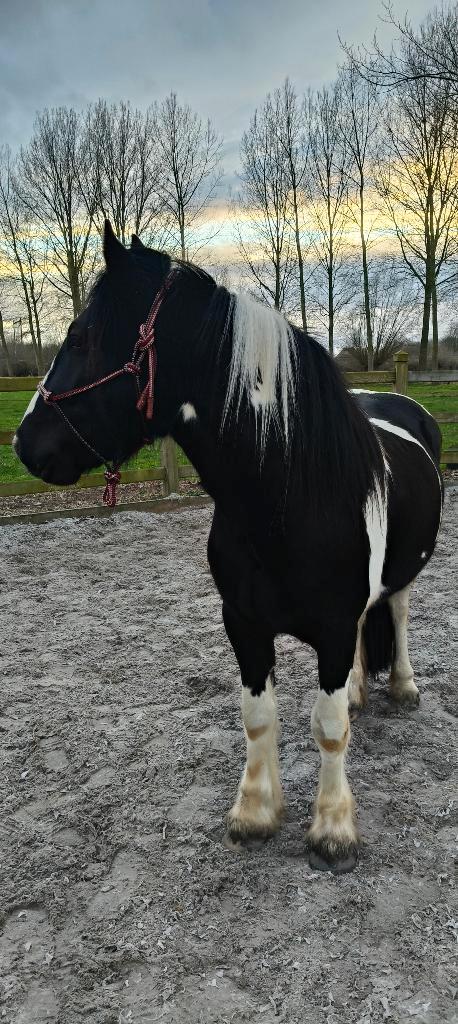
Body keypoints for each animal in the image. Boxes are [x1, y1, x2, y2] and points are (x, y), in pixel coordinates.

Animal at [14, 221, 443, 873]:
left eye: (81, 336)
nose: (23, 443)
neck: (287, 496)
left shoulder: (333, 627)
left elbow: (328, 727)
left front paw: (333, 831)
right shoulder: (243, 622)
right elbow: (258, 717)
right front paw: (255, 813)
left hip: (402, 580)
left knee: (396, 612)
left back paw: (402, 686)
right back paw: (362, 691)